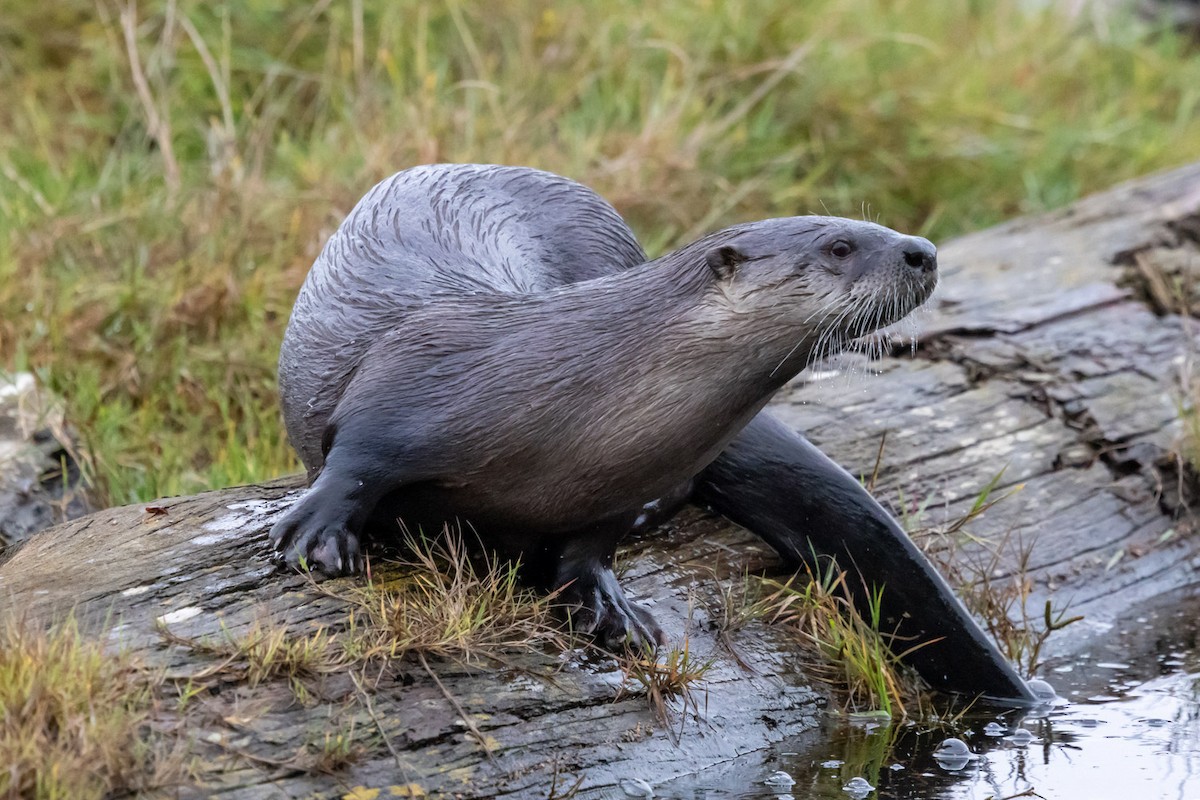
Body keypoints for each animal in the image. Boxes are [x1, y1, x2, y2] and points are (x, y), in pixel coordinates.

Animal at [272, 164, 1037, 704]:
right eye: (840, 244)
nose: (923, 251)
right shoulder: (421, 371)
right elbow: (357, 458)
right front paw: (316, 537)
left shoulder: (622, 487)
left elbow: (591, 546)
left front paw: (612, 607)